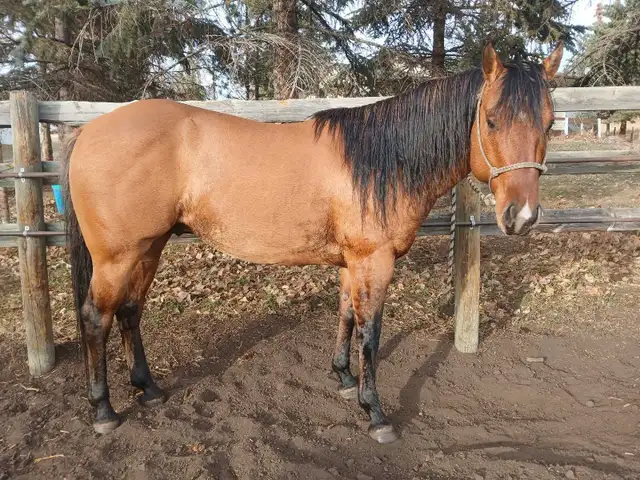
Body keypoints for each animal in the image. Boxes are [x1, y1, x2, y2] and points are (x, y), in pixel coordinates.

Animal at [60, 41, 563, 443]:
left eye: (550, 123)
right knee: (96, 317)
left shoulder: (352, 261)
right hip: (117, 257)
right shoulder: (374, 261)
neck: (380, 161)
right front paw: (375, 412)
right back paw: (103, 410)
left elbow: (346, 315)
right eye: (492, 121)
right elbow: (370, 333)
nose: (521, 217)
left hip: (149, 247)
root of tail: (88, 130)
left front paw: (342, 377)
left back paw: (148, 388)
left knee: (129, 311)